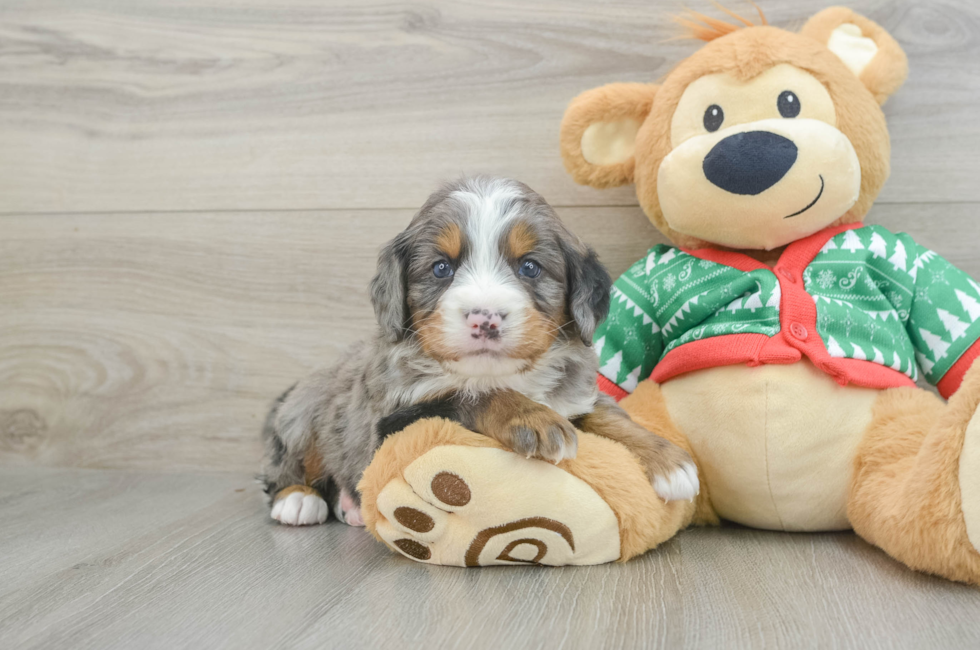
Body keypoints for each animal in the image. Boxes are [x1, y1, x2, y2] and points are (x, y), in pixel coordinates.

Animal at [260, 175, 696, 524]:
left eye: (529, 267)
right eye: (441, 268)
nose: (484, 319)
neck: (503, 373)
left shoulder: (578, 396)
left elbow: (611, 417)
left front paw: (669, 461)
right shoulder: (393, 421)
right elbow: (471, 394)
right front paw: (534, 418)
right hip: (302, 415)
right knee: (287, 466)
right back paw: (298, 499)